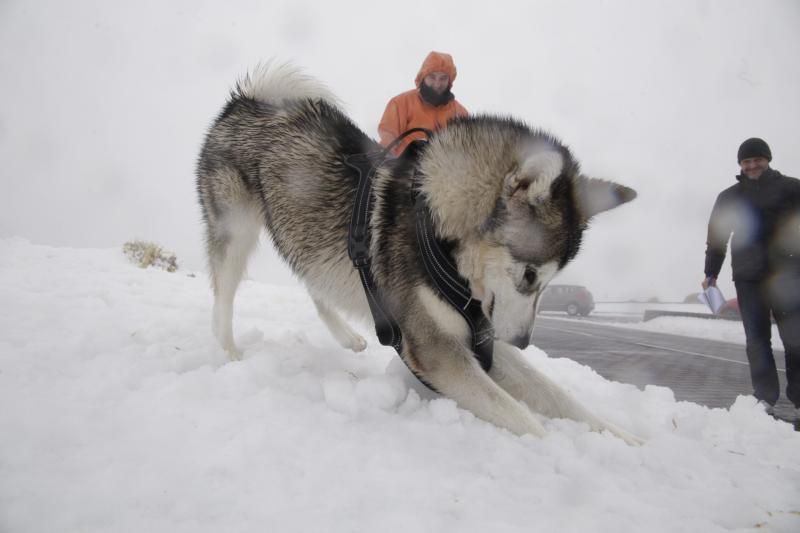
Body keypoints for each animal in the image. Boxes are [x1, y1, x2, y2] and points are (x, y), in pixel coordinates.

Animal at [197, 62, 640, 440]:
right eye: (529, 274)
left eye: (550, 282)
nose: (523, 342)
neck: (436, 229)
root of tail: (248, 101)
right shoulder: (436, 350)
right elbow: (527, 420)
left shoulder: (482, 337)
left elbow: (558, 396)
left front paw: (625, 440)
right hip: (237, 231)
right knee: (223, 295)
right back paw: (229, 351)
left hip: (306, 236)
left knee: (315, 285)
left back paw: (345, 337)